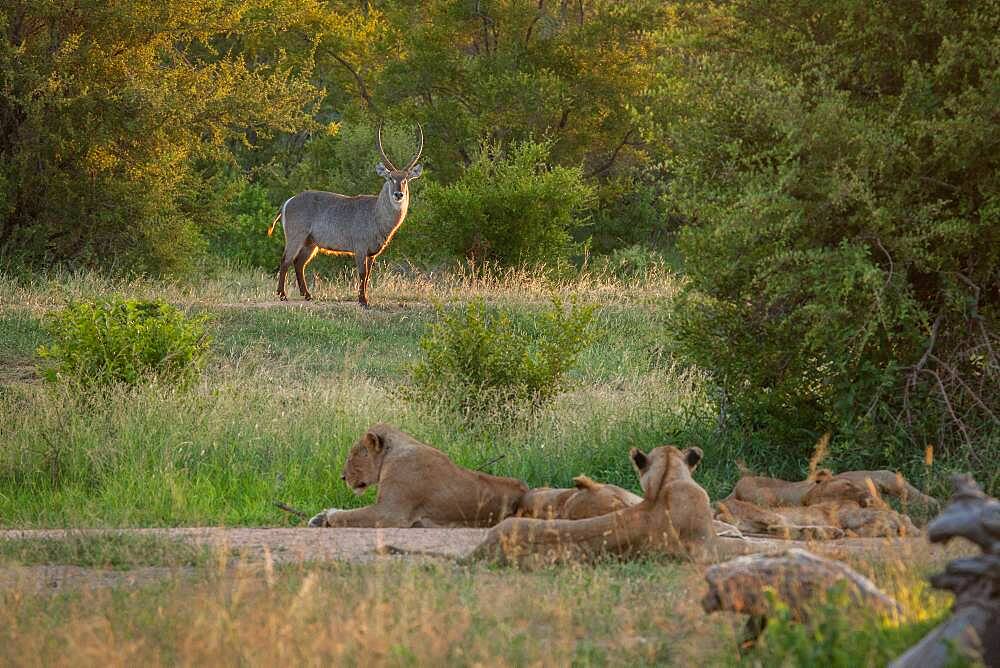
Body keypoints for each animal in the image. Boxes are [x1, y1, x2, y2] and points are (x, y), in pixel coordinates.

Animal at [306, 426, 528, 528]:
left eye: (351, 456)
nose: (342, 477)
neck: (389, 457)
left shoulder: (389, 512)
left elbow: (348, 515)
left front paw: (327, 516)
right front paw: (319, 517)